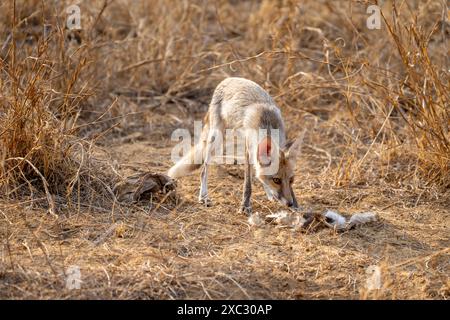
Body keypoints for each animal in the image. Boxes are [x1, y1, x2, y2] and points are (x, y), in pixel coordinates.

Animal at [167, 76, 304, 214]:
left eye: (291, 179)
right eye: (277, 180)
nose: (289, 203)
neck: (267, 123)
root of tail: (228, 79)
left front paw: (295, 206)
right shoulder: (249, 151)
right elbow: (248, 185)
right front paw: (245, 206)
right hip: (216, 138)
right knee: (203, 170)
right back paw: (203, 196)